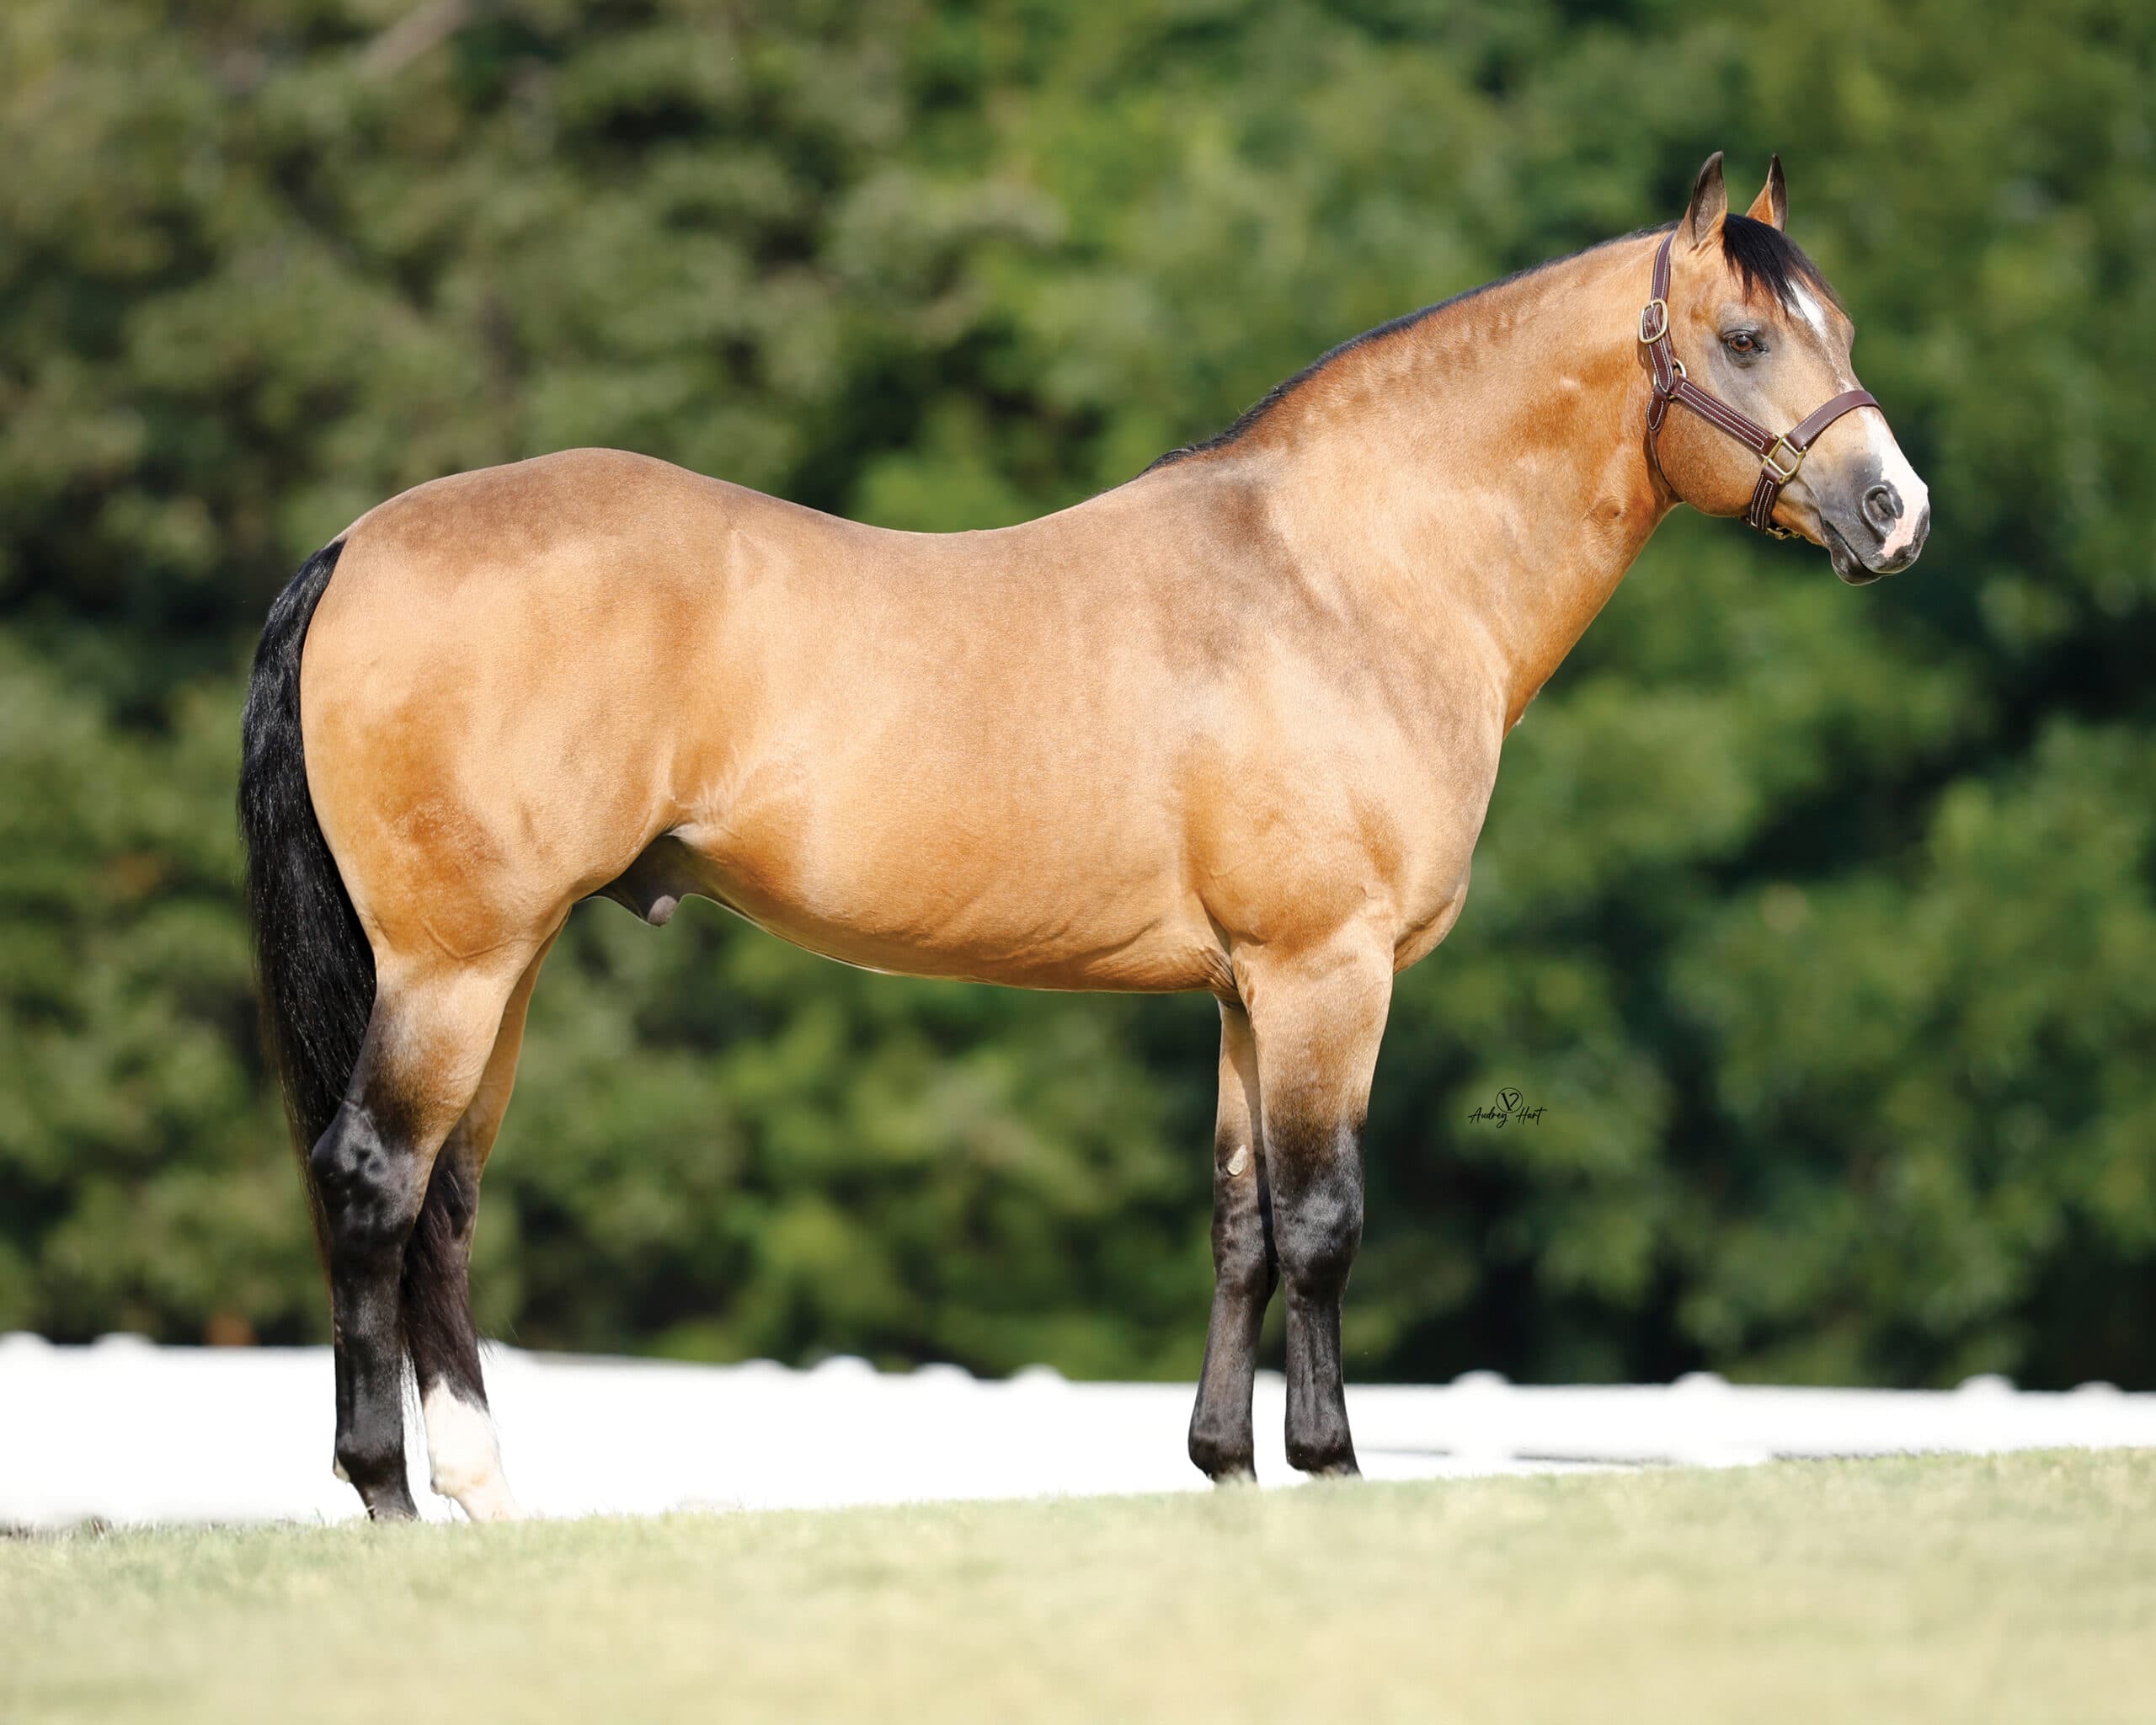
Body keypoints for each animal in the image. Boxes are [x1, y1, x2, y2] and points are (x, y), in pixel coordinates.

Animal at [240, 152, 1929, 1520]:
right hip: (455, 968)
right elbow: (1324, 1219)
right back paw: (386, 1492)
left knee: (446, 1205)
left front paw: (1227, 1468)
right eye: (1745, 337)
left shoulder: (1251, 990)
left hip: (498, 971)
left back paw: (483, 1493)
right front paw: (1330, 1468)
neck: (1342, 575)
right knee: (375, 1182)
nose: (1896, 512)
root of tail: (358, 542)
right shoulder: (1329, 974)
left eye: (1840, 328)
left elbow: (1243, 1221)